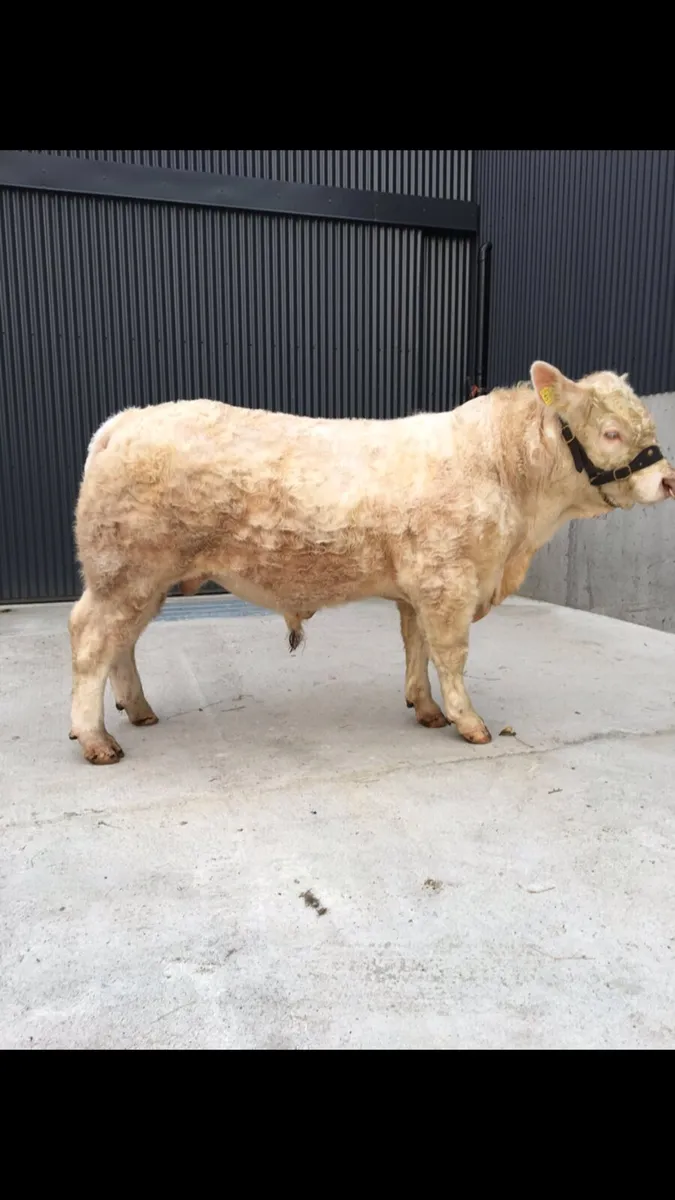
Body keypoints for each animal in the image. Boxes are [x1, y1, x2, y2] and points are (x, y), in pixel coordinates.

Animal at [68, 360, 675, 764]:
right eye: (612, 432)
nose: (669, 480)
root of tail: (122, 422)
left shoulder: (420, 588)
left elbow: (417, 647)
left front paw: (425, 708)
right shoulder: (449, 580)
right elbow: (451, 654)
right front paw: (468, 721)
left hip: (142, 580)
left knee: (122, 643)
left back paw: (136, 709)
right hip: (126, 571)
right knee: (92, 640)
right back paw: (96, 738)